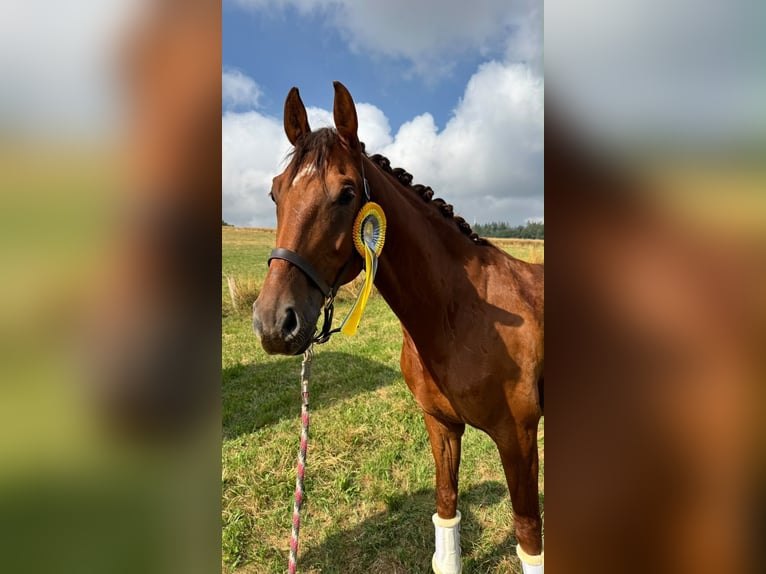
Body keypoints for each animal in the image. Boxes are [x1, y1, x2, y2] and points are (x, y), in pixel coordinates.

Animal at [253, 82, 544, 574]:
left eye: (347, 193)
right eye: (276, 193)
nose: (274, 322)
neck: (459, 316)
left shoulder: (518, 440)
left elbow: (529, 539)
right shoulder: (441, 425)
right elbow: (446, 512)